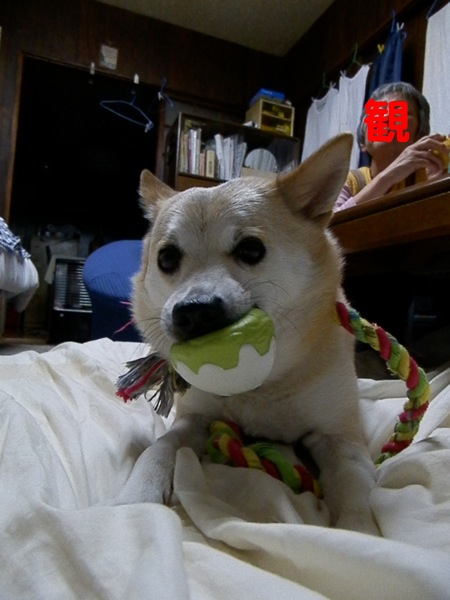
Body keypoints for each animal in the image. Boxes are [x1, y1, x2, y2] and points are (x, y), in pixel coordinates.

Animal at [116, 133, 379, 534]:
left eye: (251, 249)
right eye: (167, 259)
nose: (193, 311)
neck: (259, 384)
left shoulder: (340, 436)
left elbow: (353, 482)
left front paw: (359, 530)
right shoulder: (195, 418)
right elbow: (160, 446)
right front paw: (135, 499)